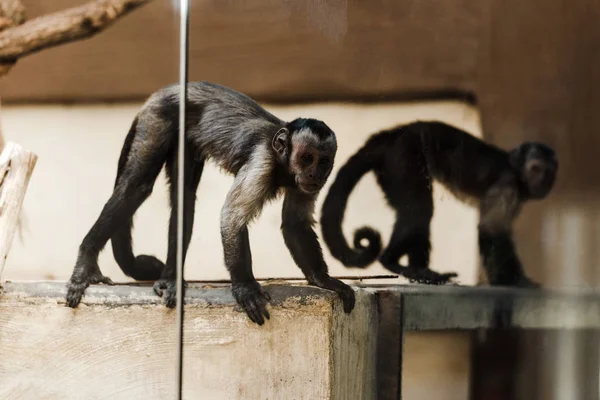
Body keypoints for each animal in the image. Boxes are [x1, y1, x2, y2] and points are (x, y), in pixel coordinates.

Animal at [66, 80, 354, 324]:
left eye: (323, 161)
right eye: (306, 158)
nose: (315, 174)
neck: (282, 165)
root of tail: (167, 90)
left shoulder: (302, 183)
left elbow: (294, 224)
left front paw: (324, 280)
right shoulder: (262, 162)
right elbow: (231, 217)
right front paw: (245, 287)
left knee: (184, 198)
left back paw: (170, 279)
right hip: (159, 117)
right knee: (136, 187)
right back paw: (86, 263)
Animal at [322, 121, 560, 288]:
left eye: (548, 173)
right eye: (535, 168)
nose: (541, 181)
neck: (517, 172)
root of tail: (392, 134)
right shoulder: (508, 185)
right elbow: (491, 229)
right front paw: (513, 281)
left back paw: (421, 271)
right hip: (403, 157)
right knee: (421, 208)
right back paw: (393, 261)